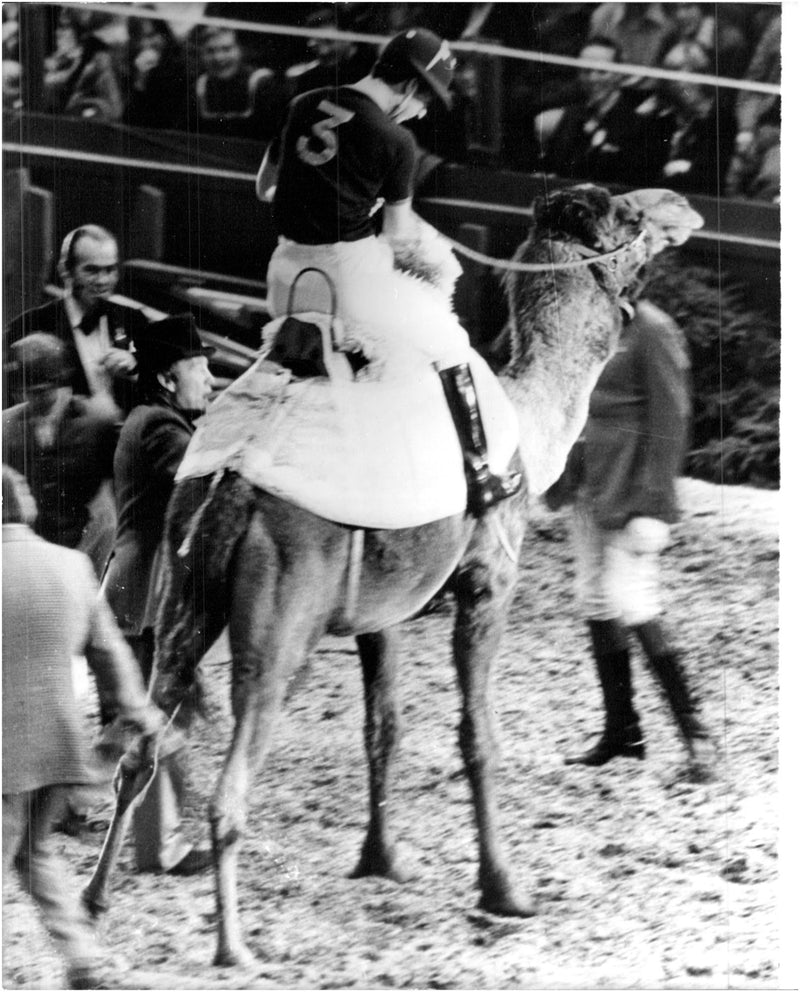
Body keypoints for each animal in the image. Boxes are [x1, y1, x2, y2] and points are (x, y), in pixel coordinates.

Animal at [84, 182, 704, 964]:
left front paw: (381, 859)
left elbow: (383, 727)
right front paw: (505, 891)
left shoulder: (383, 613)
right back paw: (233, 947)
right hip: (277, 633)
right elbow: (478, 737)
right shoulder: (487, 582)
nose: (682, 206)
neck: (525, 426)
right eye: (627, 215)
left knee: (141, 746)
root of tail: (233, 485)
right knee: (230, 782)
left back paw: (95, 898)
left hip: (182, 606)